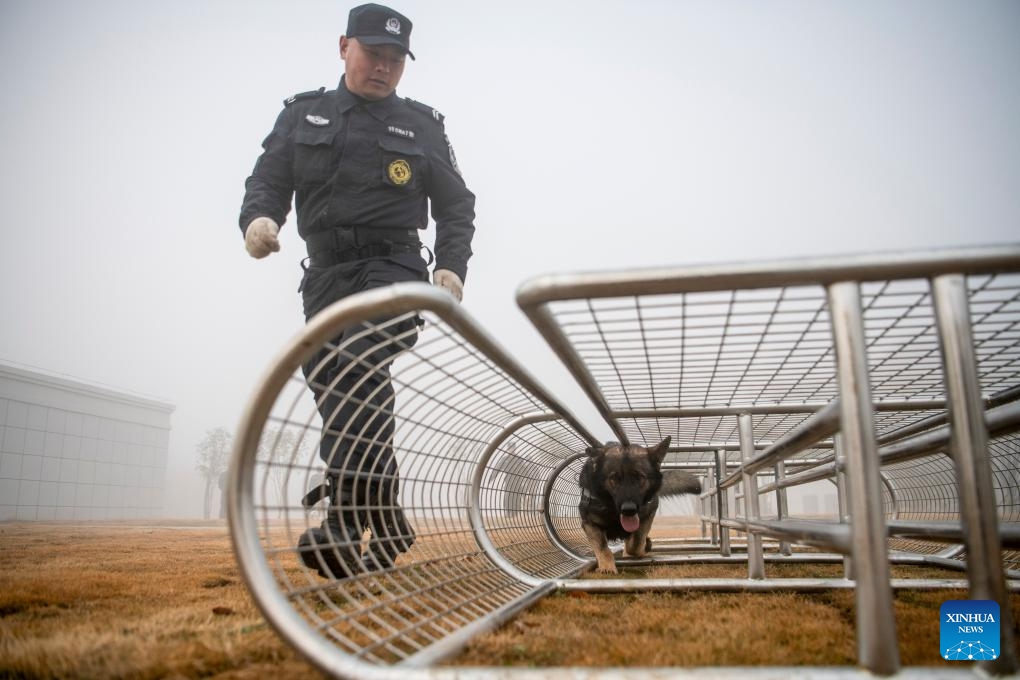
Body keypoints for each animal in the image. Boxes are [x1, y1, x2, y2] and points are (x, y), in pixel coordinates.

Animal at [583, 436, 701, 574]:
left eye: (639, 477)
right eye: (614, 478)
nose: (628, 509)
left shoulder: (648, 514)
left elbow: (635, 544)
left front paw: (641, 549)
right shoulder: (589, 523)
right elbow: (602, 547)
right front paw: (607, 567)